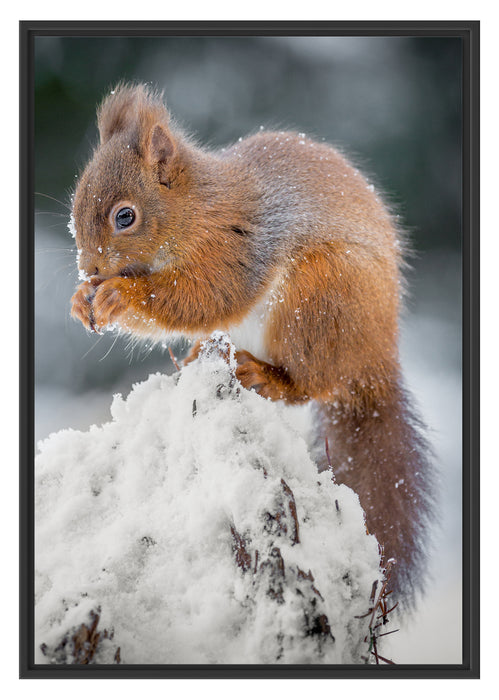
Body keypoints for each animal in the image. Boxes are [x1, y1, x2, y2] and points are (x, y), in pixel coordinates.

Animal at [70, 83, 435, 602]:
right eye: (76, 202)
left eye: (126, 216)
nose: (90, 269)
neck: (193, 209)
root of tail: (376, 360)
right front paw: (82, 300)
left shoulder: (235, 247)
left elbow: (202, 296)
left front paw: (119, 296)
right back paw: (198, 357)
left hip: (319, 300)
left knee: (310, 383)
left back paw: (265, 376)